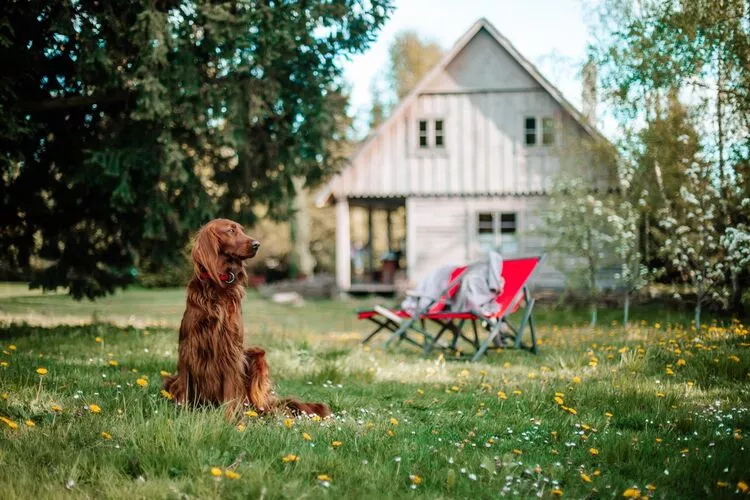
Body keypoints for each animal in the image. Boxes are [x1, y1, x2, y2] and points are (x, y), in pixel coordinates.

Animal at [163, 219, 330, 418]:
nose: (257, 244)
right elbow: (185, 387)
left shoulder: (230, 349)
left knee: (264, 405)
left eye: (242, 230)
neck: (218, 286)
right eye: (230, 231)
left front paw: (228, 419)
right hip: (170, 380)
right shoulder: (189, 347)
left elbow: (230, 392)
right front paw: (183, 415)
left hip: (257, 356)